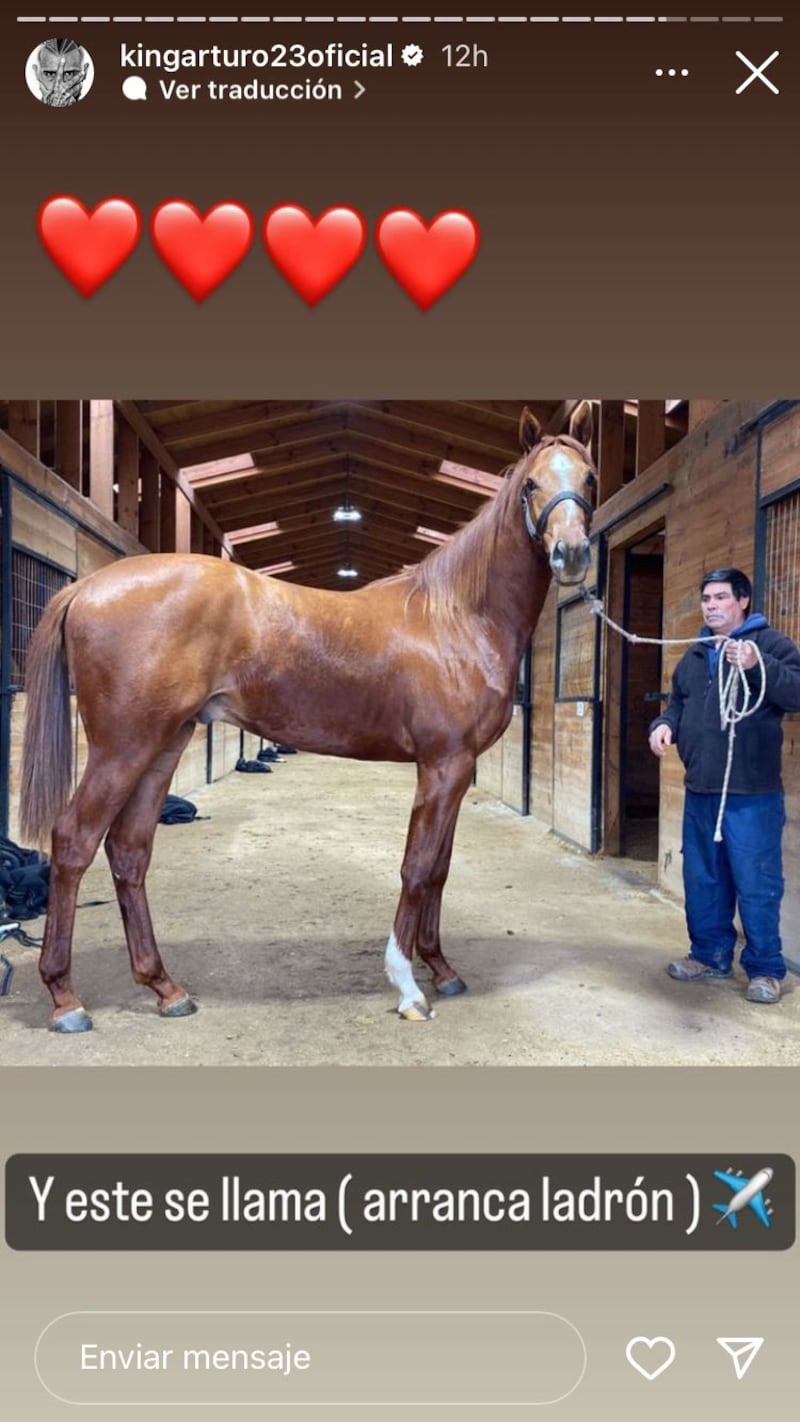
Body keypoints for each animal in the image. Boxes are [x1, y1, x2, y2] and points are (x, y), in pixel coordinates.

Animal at [20, 401, 593, 1035]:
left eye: (590, 478)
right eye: (531, 484)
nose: (572, 554)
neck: (456, 617)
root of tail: (90, 587)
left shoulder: (457, 769)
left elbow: (439, 870)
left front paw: (442, 968)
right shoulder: (443, 765)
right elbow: (417, 869)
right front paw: (407, 986)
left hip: (163, 744)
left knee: (128, 850)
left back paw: (165, 988)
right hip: (123, 748)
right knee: (74, 842)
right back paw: (66, 999)